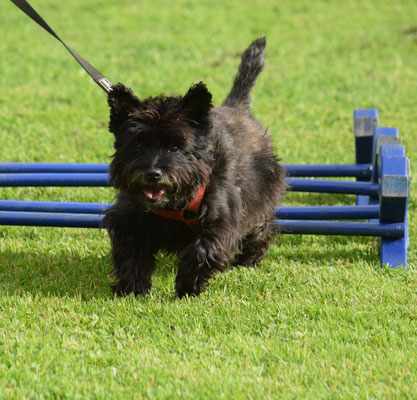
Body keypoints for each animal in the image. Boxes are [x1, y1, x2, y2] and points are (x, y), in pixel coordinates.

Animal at [103, 38, 288, 296]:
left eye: (176, 147)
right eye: (138, 143)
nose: (153, 173)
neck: (173, 203)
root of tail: (237, 107)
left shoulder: (221, 220)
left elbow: (203, 250)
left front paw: (187, 286)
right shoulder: (129, 219)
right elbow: (130, 252)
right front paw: (132, 288)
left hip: (262, 194)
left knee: (261, 228)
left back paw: (249, 260)